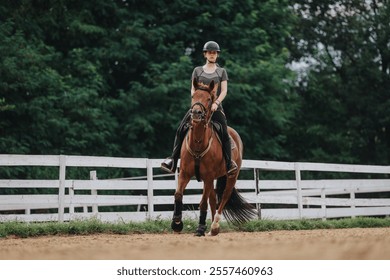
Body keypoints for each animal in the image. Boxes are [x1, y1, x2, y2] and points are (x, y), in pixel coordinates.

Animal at [171, 79, 256, 236]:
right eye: (193, 96)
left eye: (209, 99)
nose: (196, 113)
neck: (198, 144)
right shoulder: (185, 174)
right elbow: (178, 194)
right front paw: (177, 223)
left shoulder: (209, 177)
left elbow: (203, 203)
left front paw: (199, 228)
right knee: (212, 200)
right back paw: (209, 228)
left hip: (231, 176)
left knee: (223, 197)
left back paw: (214, 226)